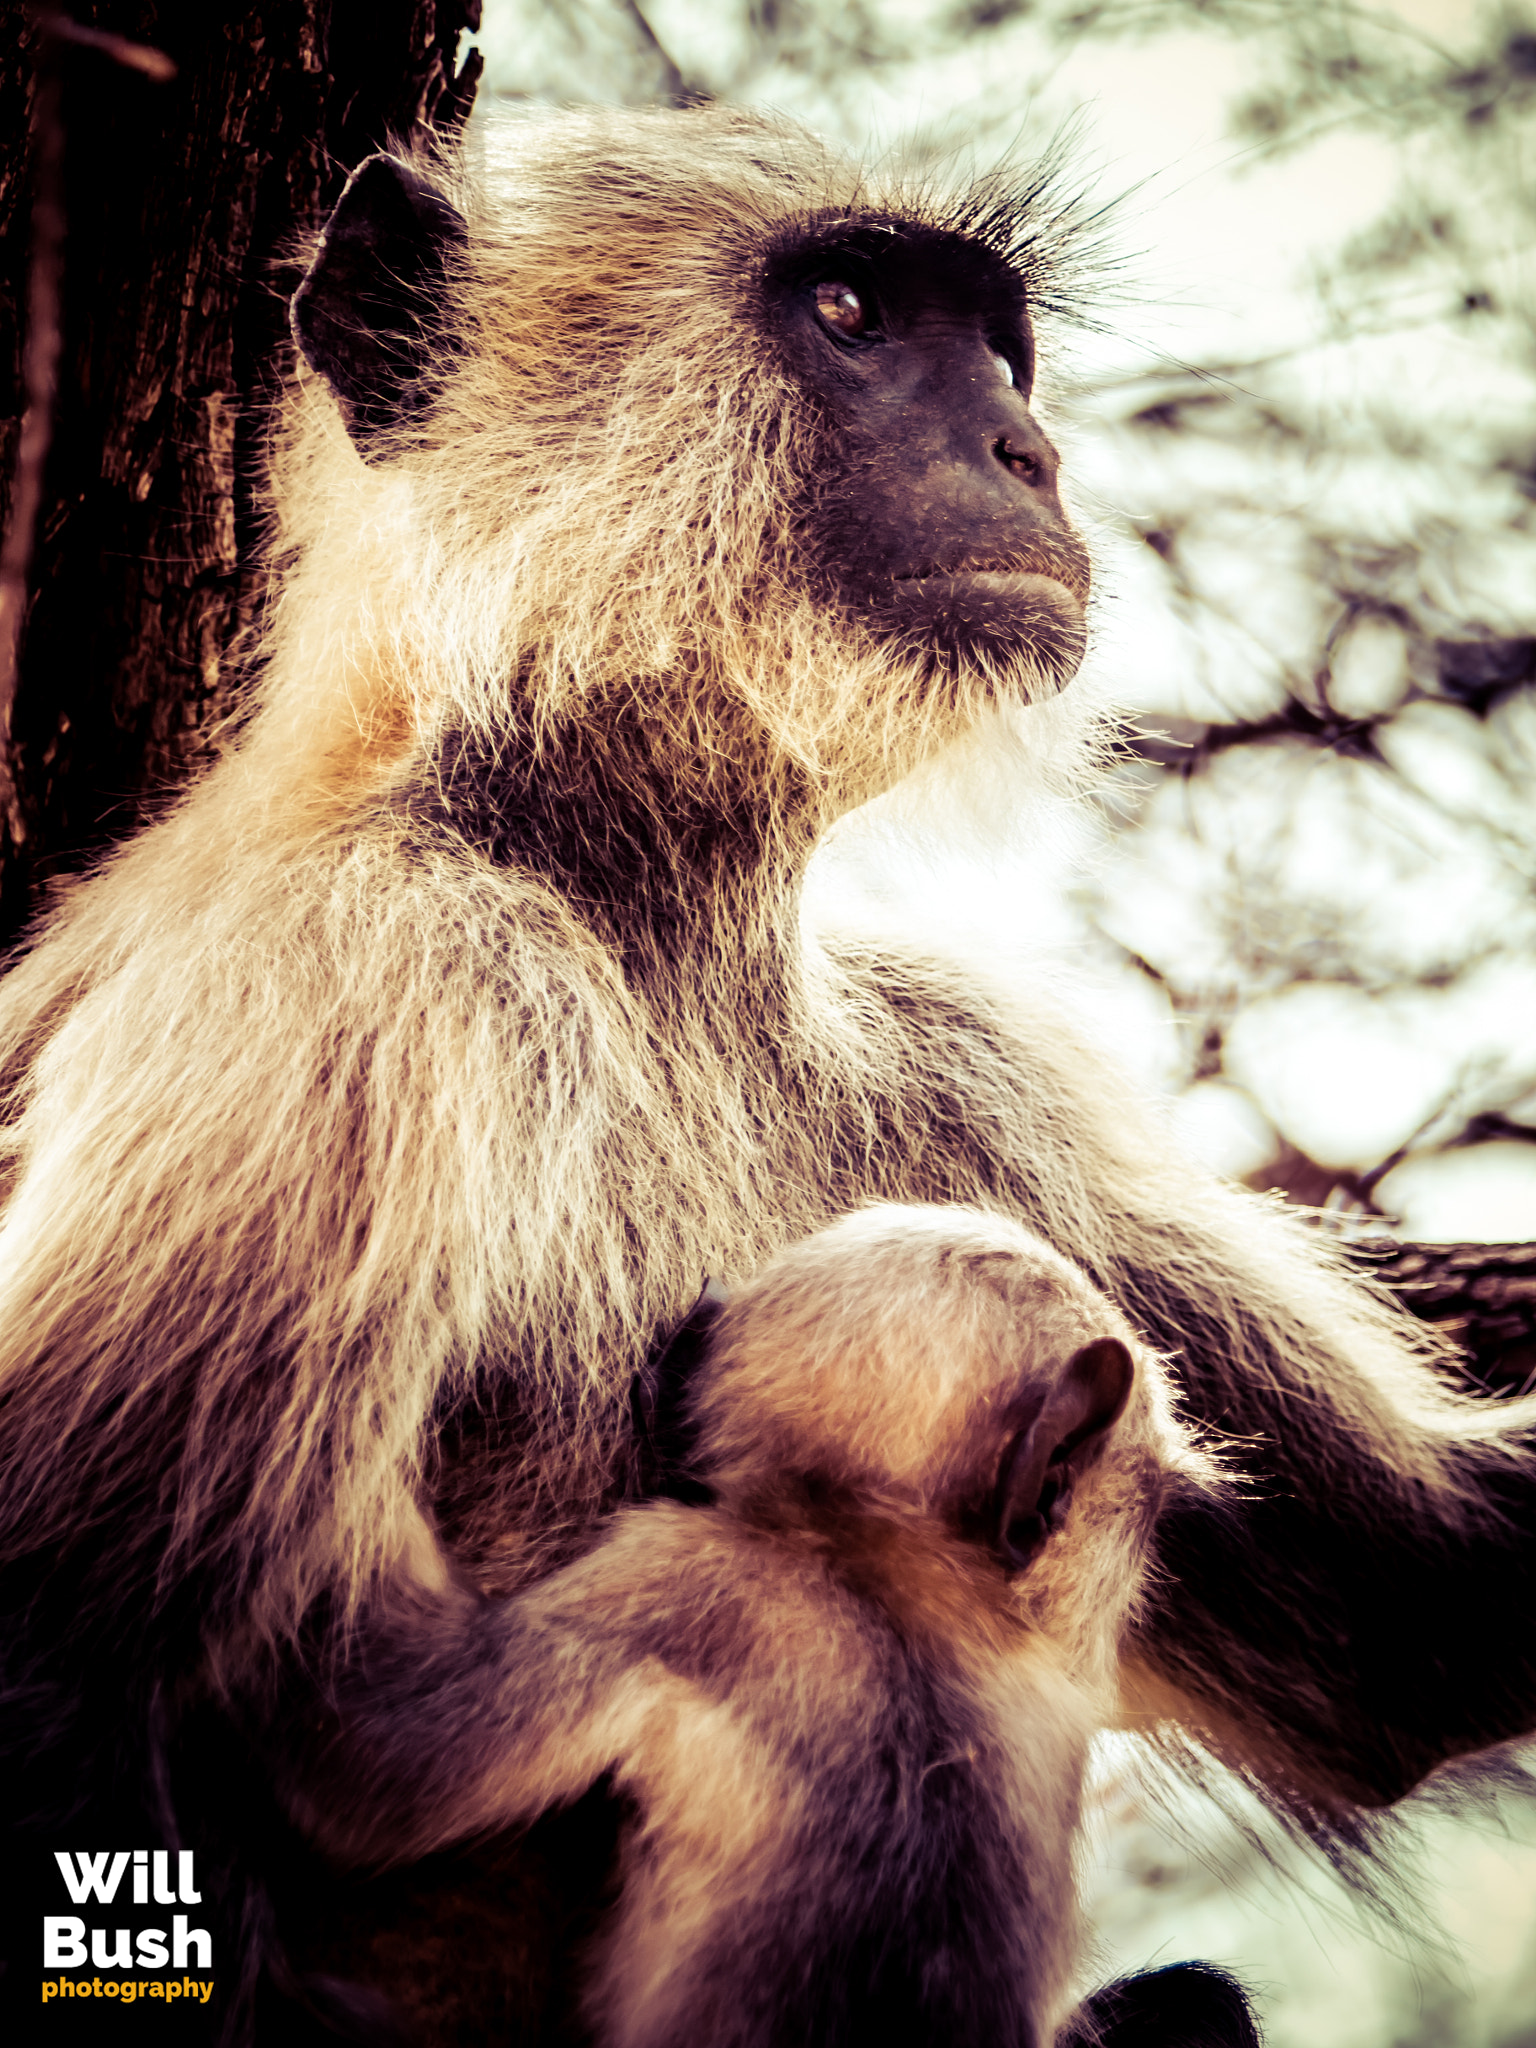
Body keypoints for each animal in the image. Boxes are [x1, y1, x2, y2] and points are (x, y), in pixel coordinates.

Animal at [0, 108, 1531, 2031]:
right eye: (856, 310)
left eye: (999, 351)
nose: (1029, 452)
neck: (637, 912)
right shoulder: (359, 965)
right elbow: (74, 1684)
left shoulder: (969, 1061)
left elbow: (1419, 1624)